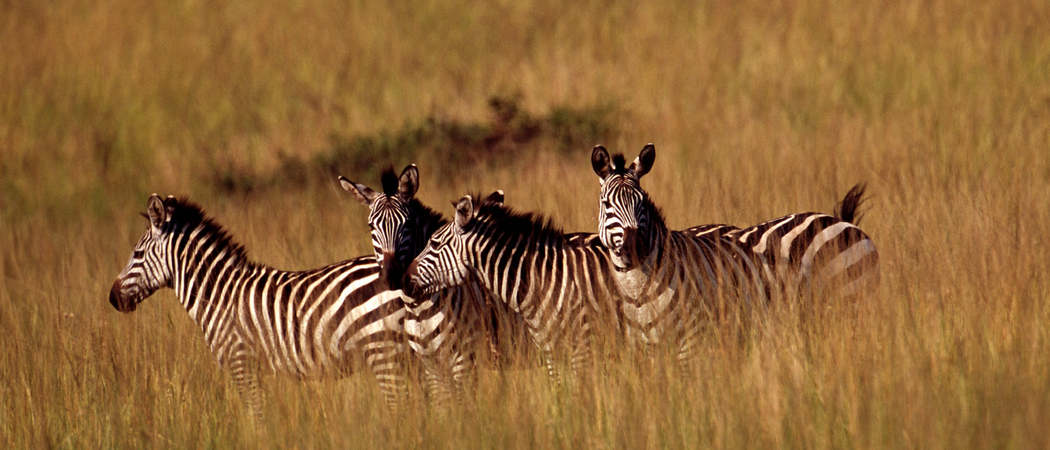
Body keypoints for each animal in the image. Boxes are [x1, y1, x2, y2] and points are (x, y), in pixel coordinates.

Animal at [109, 194, 407, 416]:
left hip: (383, 350)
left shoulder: (241, 363)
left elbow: (256, 418)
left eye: (137, 254)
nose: (112, 298)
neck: (218, 294)